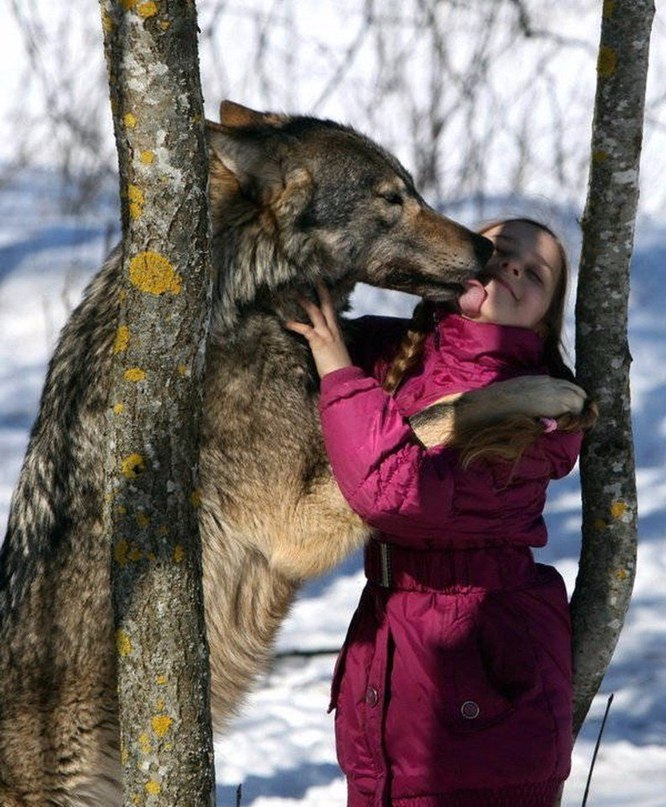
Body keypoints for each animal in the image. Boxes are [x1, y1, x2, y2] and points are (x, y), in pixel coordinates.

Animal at [0, 102, 580, 807]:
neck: (245, 300)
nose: (488, 248)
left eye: (413, 189)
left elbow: (402, 405)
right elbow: (445, 409)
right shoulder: (296, 525)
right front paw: (544, 388)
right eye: (391, 198)